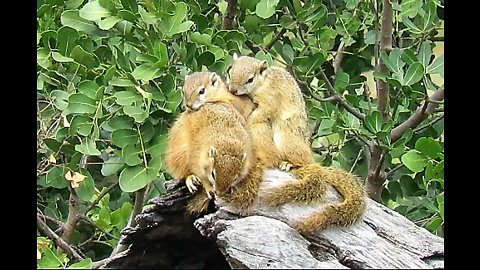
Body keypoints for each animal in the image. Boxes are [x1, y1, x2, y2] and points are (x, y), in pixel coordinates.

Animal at [164, 71, 255, 215]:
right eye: (183, 91)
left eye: (202, 91)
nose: (188, 105)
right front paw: (207, 187)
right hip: (180, 154)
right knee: (183, 173)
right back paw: (191, 179)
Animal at [226, 55, 368, 234]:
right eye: (230, 71)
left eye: (250, 79)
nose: (232, 90)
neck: (264, 82)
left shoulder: (271, 98)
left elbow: (263, 112)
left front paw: (249, 119)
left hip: (287, 138)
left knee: (298, 162)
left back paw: (288, 164)